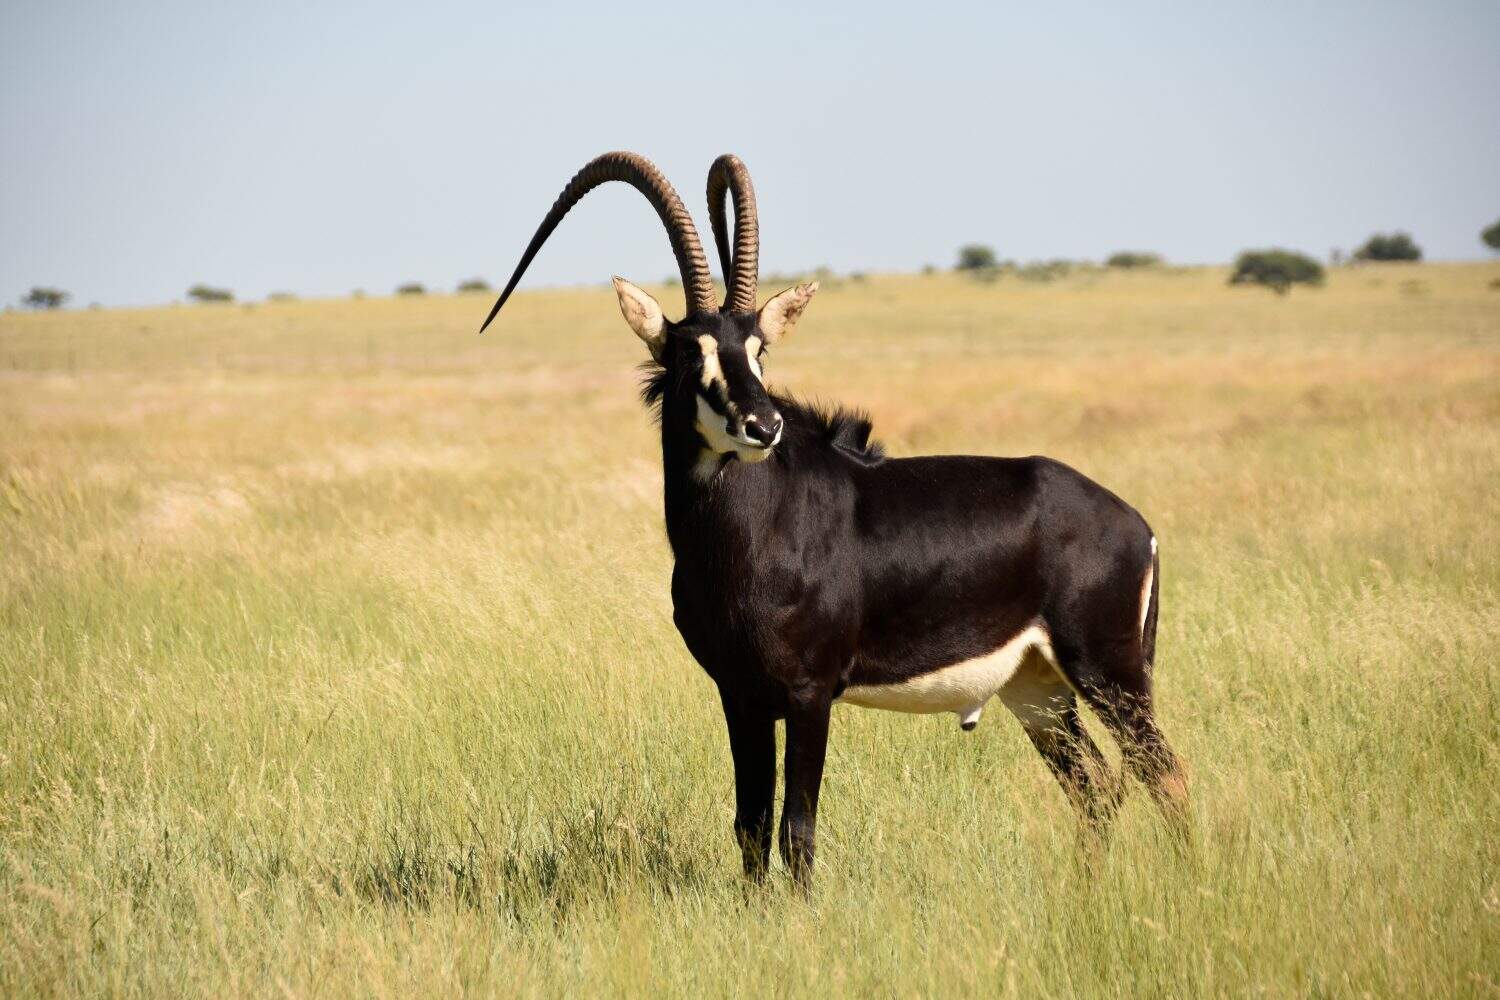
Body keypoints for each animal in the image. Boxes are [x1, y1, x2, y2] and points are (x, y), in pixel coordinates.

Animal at [482, 152, 1188, 886]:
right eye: (689, 352)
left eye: (759, 350)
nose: (762, 424)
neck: (746, 541)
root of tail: (1135, 524)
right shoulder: (740, 695)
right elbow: (749, 826)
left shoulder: (809, 693)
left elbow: (796, 829)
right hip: (1038, 688)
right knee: (1095, 785)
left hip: (1109, 671)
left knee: (1164, 773)